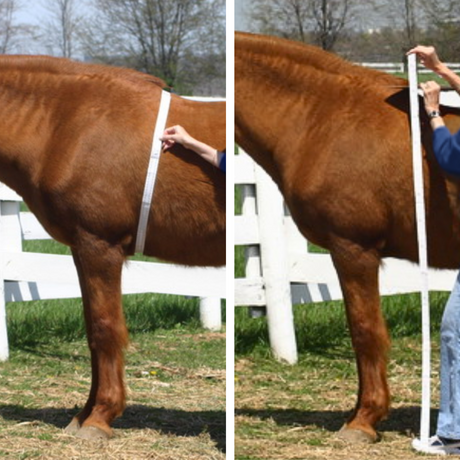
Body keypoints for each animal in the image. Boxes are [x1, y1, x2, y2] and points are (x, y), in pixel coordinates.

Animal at [0, 55, 226, 440]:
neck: (66, 123)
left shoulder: (99, 245)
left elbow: (105, 328)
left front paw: (100, 417)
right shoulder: (81, 247)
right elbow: (92, 329)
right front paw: (83, 414)